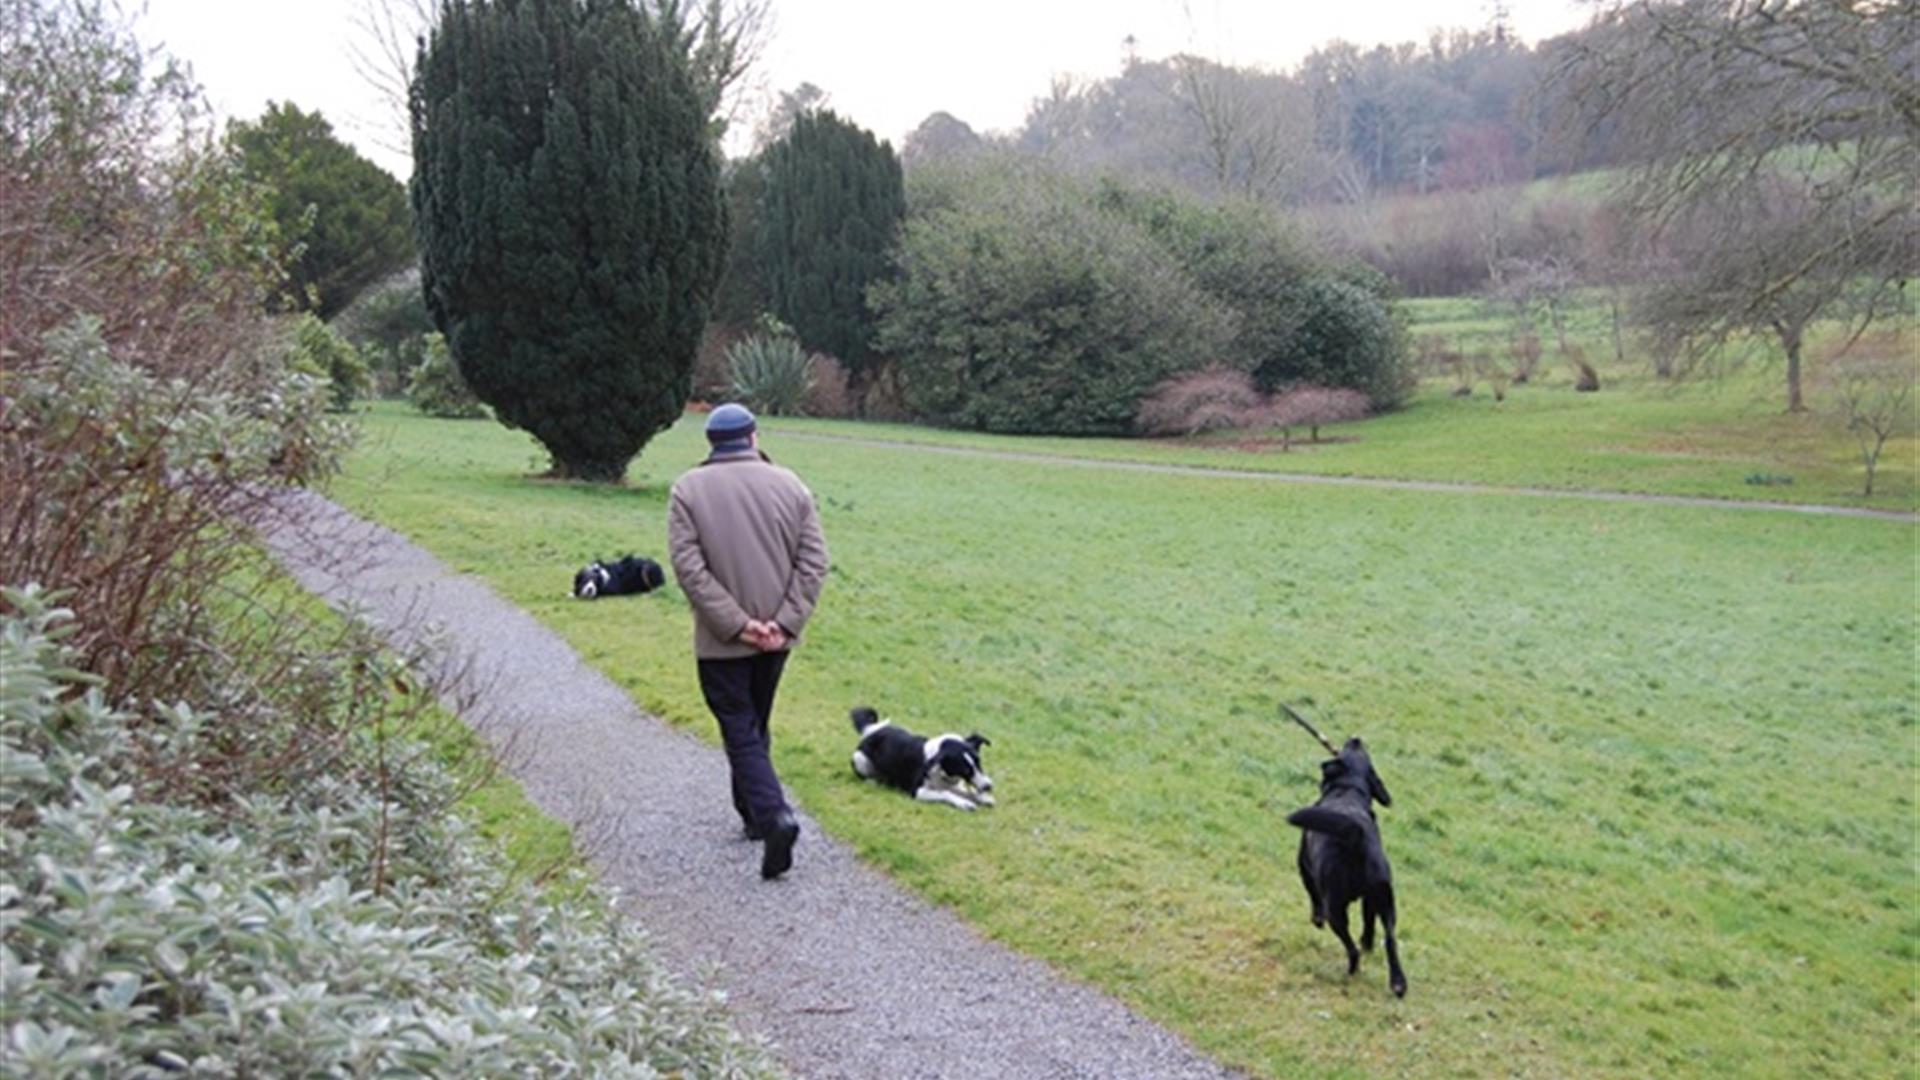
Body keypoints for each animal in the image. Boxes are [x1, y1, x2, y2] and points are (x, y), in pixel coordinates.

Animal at [856, 707, 1006, 807]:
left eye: (979, 762)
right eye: (965, 770)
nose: (988, 786)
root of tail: (871, 731)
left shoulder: (952, 784)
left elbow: (964, 790)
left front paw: (982, 798)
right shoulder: (918, 791)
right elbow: (944, 793)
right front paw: (963, 803)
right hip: (859, 759)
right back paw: (873, 781)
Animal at [1290, 730, 1413, 991]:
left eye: (1349, 749)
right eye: (1363, 753)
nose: (1355, 738)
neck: (1348, 790)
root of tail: (1356, 833)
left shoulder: (1305, 870)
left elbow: (1313, 897)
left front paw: (1316, 920)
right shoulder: (1371, 899)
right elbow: (1369, 923)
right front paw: (1368, 942)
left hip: (1335, 907)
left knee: (1351, 947)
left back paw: (1351, 970)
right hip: (1385, 898)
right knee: (1390, 939)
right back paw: (1397, 982)